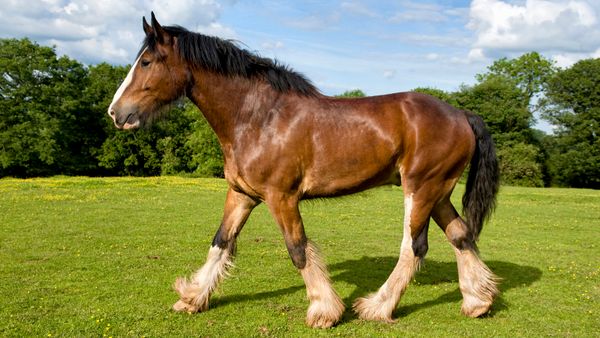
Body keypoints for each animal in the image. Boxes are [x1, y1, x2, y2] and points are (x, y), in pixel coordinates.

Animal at [109, 12, 502, 328]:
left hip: (419, 189)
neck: (257, 117)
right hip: (438, 192)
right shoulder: (242, 194)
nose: (116, 112)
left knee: (414, 247)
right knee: (460, 235)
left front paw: (324, 311)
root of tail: (460, 114)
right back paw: (478, 301)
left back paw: (377, 307)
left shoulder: (281, 197)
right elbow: (221, 242)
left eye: (146, 62)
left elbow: (297, 248)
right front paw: (193, 298)